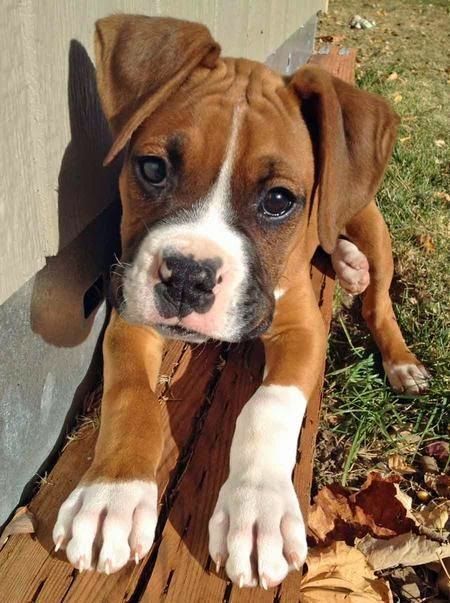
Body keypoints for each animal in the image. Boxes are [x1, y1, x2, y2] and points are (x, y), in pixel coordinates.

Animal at [52, 15, 428, 588]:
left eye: (278, 200)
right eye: (152, 169)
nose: (188, 277)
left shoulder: (302, 331)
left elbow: (267, 406)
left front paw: (259, 511)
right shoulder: (131, 314)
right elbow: (132, 396)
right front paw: (110, 497)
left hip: (370, 220)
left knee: (377, 301)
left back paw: (396, 350)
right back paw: (346, 262)